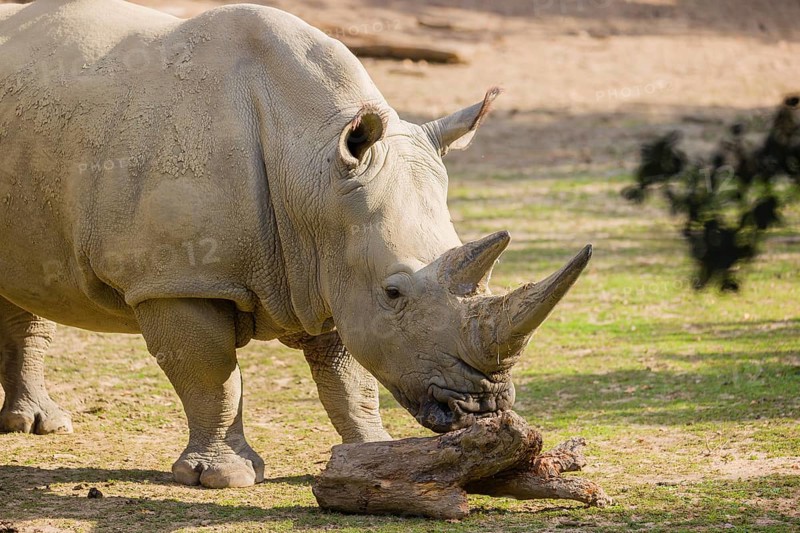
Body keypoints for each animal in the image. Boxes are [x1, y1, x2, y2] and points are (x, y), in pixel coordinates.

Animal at [0, 0, 591, 488]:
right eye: (394, 293)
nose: (485, 406)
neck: (312, 166)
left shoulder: (331, 262)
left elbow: (349, 378)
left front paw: (376, 454)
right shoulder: (175, 278)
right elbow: (212, 374)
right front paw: (224, 478)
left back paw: (39, 426)